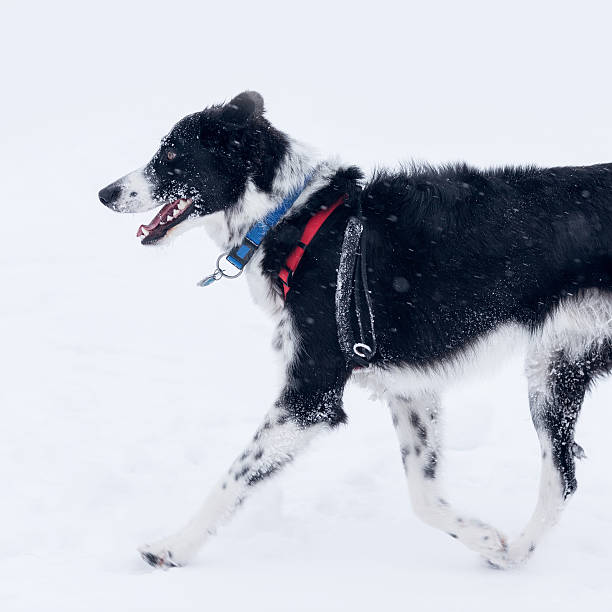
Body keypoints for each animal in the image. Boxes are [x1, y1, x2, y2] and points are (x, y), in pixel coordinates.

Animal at [98, 89, 612, 568]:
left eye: (171, 156)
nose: (105, 194)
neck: (291, 217)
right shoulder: (409, 392)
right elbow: (424, 498)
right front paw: (484, 538)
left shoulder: (311, 395)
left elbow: (232, 479)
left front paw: (173, 547)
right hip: (555, 373)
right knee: (563, 477)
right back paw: (515, 554)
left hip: (549, 374)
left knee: (560, 476)